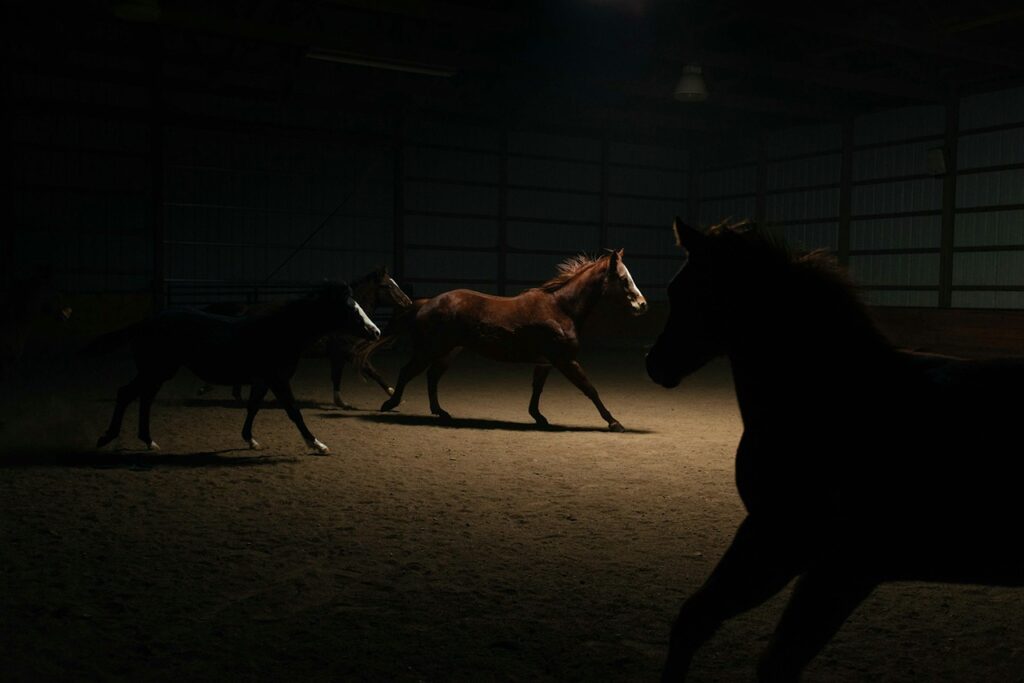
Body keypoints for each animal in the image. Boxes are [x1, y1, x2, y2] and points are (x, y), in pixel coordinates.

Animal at [88, 282, 380, 454]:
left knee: (144, 399)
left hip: (159, 373)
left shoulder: (262, 381)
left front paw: (250, 439)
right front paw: (317, 444)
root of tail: (142, 323)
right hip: (155, 370)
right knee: (126, 394)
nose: (376, 332)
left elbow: (253, 408)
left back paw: (148, 441)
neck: (280, 332)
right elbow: (294, 411)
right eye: (352, 310)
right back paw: (107, 438)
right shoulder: (278, 379)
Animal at [374, 249, 647, 431]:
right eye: (623, 279)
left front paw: (538, 417)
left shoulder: (545, 362)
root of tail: (425, 303)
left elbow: (537, 389)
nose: (643, 305)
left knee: (432, 376)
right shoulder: (565, 360)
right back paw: (390, 403)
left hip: (449, 351)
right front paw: (614, 422)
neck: (561, 308)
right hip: (429, 349)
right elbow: (590, 389)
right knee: (407, 372)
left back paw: (440, 412)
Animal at [645, 217, 1024, 681]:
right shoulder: (783, 544)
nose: (654, 363)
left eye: (689, 291)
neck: (839, 395)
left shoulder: (811, 553)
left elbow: (772, 658)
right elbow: (695, 622)